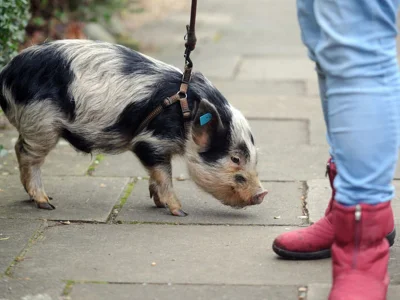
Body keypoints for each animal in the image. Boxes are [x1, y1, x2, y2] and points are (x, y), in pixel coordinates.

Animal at [0, 39, 268, 217]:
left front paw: (157, 202)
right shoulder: (151, 140)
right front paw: (179, 212)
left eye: (255, 158)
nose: (262, 193)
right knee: (27, 154)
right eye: (235, 158)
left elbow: (156, 175)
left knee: (19, 147)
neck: (186, 113)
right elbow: (163, 174)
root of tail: (7, 73)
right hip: (41, 122)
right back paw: (46, 203)